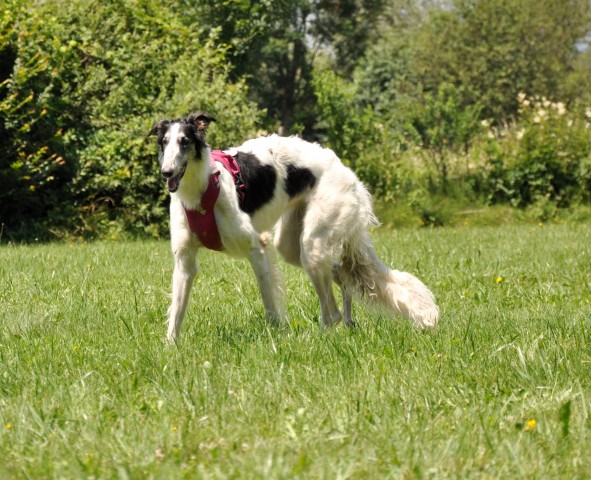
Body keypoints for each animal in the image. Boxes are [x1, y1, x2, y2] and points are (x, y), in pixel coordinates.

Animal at [148, 112, 440, 342]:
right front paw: (171, 347)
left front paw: (276, 336)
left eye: (185, 141)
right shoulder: (185, 260)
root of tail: (346, 171)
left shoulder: (257, 248)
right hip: (293, 245)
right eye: (164, 142)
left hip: (312, 246)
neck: (201, 191)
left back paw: (322, 335)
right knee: (341, 274)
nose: (167, 172)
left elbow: (270, 304)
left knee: (331, 312)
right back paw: (347, 323)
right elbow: (176, 311)